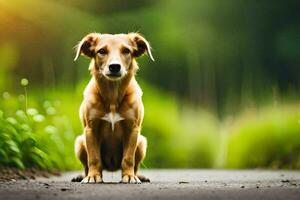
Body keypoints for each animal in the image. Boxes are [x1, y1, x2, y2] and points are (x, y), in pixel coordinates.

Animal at [73, 32, 154, 184]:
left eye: (126, 51)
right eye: (101, 51)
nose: (115, 67)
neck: (112, 97)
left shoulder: (132, 129)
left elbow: (128, 158)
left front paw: (129, 176)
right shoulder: (91, 129)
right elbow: (94, 158)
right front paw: (93, 176)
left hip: (142, 143)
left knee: (136, 165)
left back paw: (138, 176)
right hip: (79, 143)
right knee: (86, 165)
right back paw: (83, 175)